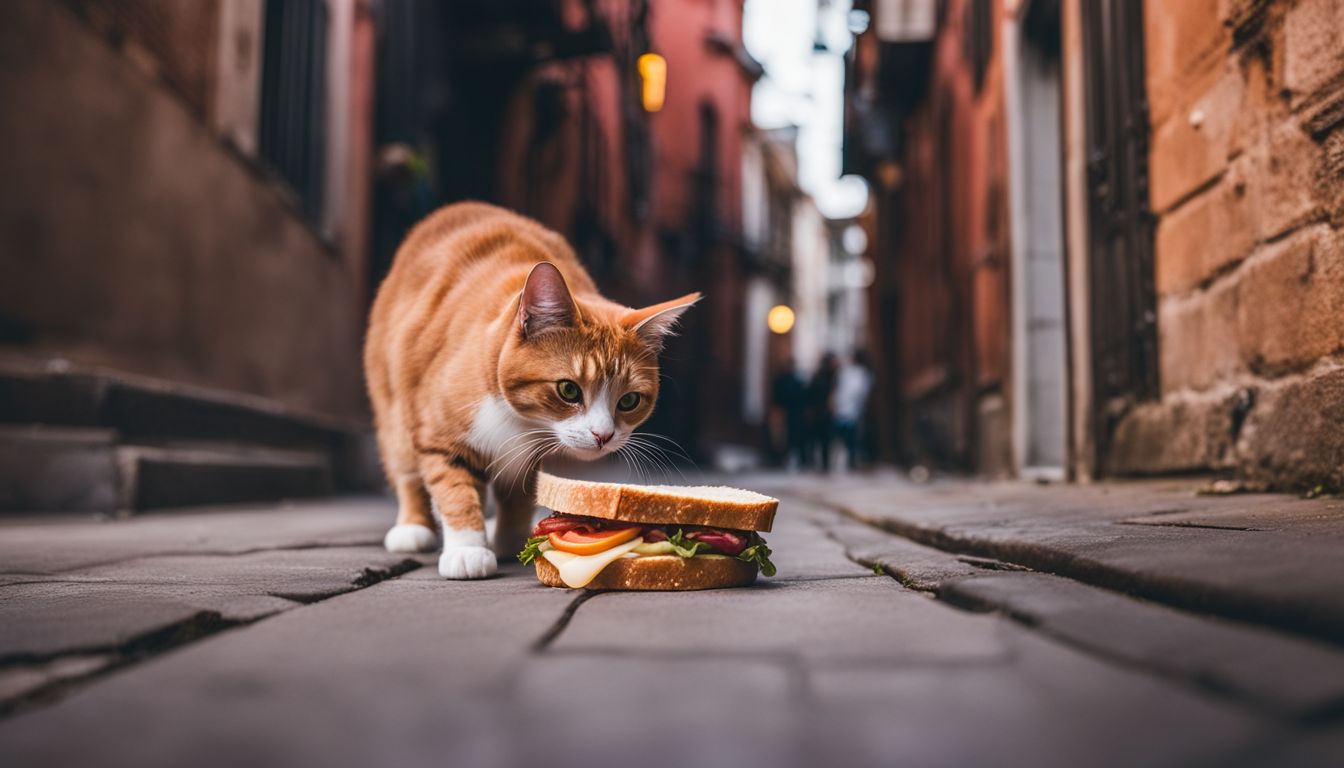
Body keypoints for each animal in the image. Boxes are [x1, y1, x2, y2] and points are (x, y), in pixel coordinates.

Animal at [368, 201, 704, 581]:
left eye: (629, 400)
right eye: (568, 390)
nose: (603, 436)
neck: (518, 421)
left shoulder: (527, 457)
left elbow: (518, 495)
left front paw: (511, 539)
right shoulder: (439, 436)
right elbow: (455, 490)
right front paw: (468, 549)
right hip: (394, 408)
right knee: (406, 470)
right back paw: (413, 528)